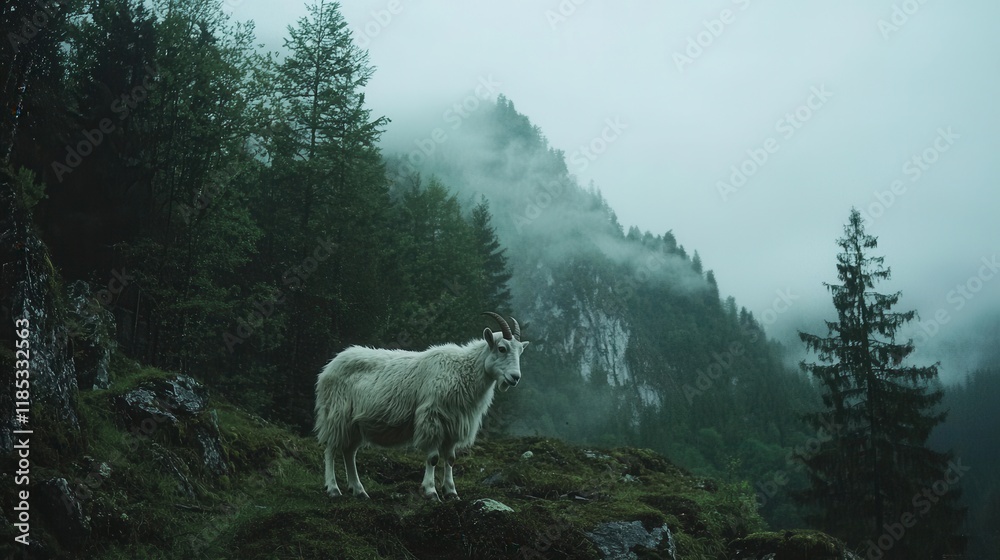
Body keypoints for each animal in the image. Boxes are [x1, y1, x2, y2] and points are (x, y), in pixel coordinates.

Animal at [314, 312, 529, 500]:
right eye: (501, 348)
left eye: (521, 351)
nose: (515, 377)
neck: (462, 370)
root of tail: (329, 366)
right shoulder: (432, 418)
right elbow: (433, 458)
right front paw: (431, 492)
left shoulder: (454, 424)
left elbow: (450, 459)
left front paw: (451, 492)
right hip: (336, 414)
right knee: (331, 449)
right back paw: (333, 489)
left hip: (355, 424)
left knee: (349, 453)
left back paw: (359, 491)